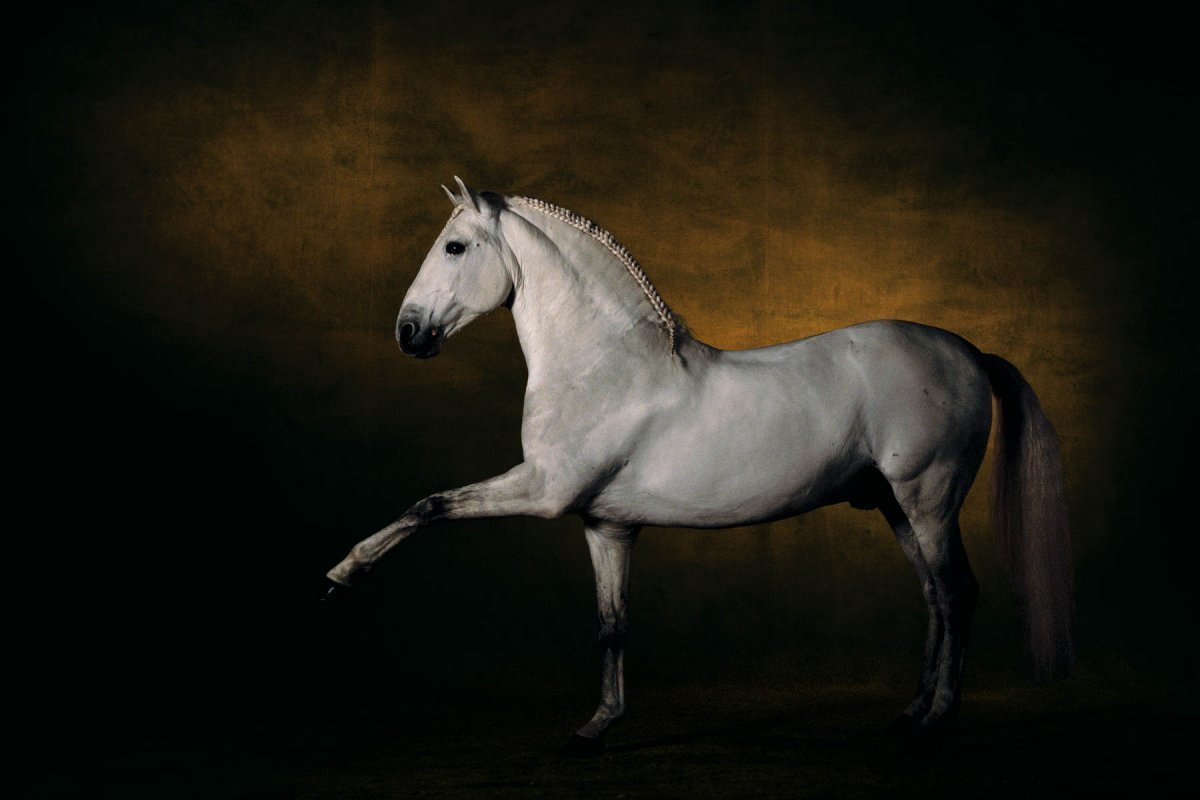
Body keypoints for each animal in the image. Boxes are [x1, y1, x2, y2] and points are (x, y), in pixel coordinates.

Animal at [324, 177, 1074, 754]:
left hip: (928, 500)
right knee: (932, 597)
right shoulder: (604, 525)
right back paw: (914, 709)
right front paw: (596, 727)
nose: (408, 332)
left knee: (956, 592)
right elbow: (611, 624)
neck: (604, 368)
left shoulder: (542, 490)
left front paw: (342, 574)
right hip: (893, 507)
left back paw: (939, 716)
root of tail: (969, 352)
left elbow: (430, 504)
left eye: (454, 247)